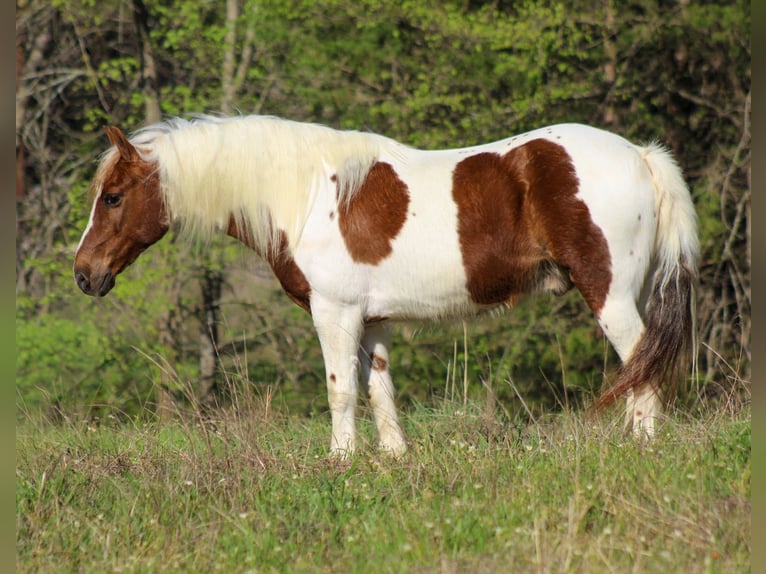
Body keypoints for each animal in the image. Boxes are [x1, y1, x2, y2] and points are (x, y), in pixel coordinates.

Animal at [74, 115, 698, 457]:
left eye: (113, 197)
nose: (84, 273)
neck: (306, 196)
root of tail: (640, 155)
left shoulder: (335, 313)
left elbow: (340, 389)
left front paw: (340, 461)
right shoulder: (371, 320)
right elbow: (380, 390)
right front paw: (393, 459)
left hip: (609, 294)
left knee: (641, 363)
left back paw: (643, 447)